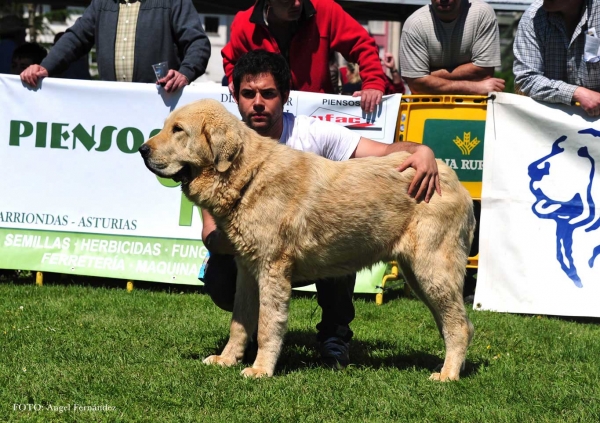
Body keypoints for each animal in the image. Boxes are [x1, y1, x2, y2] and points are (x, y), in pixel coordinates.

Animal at [138, 98, 476, 380]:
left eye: (178, 130)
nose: (142, 150)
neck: (248, 176)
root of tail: (452, 178)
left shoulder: (272, 270)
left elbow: (267, 325)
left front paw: (260, 370)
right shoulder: (247, 271)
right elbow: (239, 323)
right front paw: (228, 359)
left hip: (432, 270)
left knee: (459, 324)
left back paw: (448, 375)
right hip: (418, 275)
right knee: (453, 323)